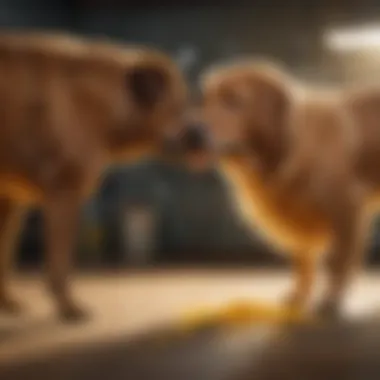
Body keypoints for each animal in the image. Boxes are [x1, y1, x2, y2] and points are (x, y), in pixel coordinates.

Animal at [0, 32, 187, 322]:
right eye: (179, 107)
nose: (201, 136)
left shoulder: (13, 200)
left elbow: (5, 255)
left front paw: (8, 303)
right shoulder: (62, 192)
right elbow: (59, 263)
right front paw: (71, 309)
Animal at [200, 60, 380, 316]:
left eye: (234, 100)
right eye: (205, 100)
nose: (192, 132)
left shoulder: (346, 210)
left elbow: (337, 261)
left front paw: (331, 300)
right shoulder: (299, 221)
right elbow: (303, 262)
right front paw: (298, 296)